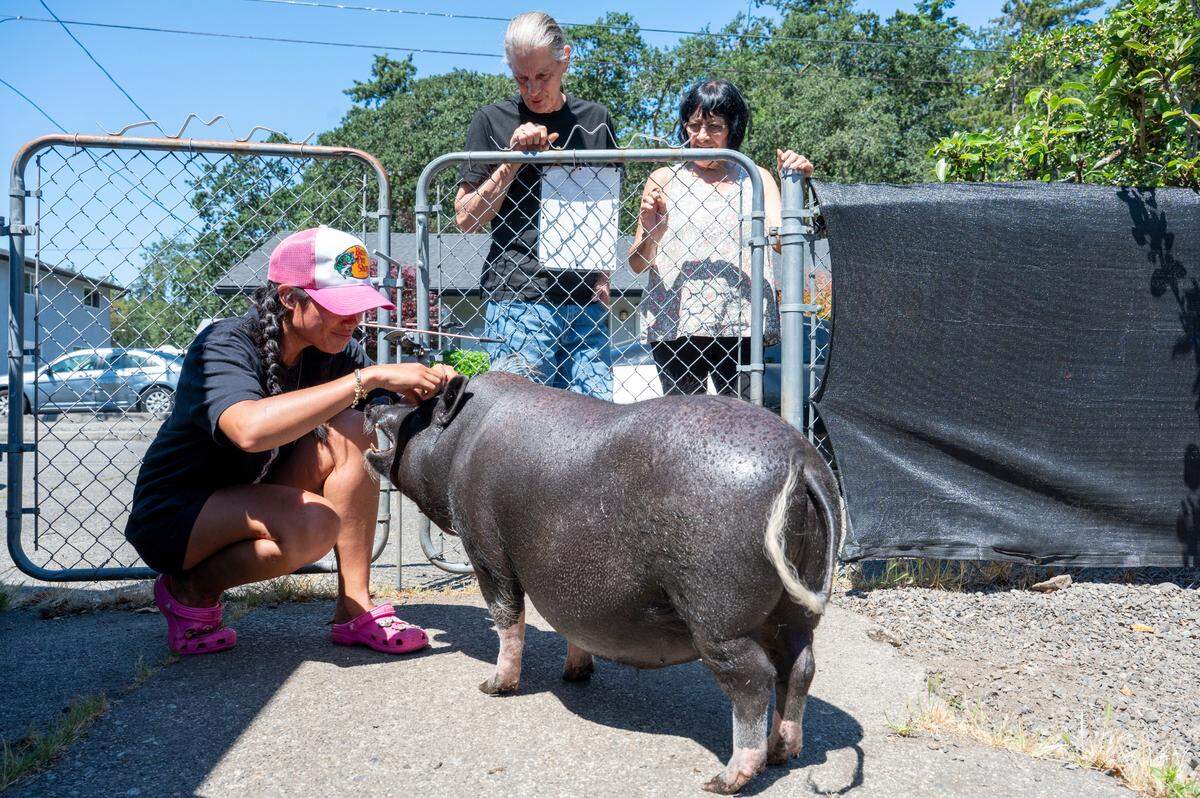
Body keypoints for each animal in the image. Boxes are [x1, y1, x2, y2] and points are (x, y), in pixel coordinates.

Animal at [365, 371, 843, 794]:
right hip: (791, 611)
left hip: (720, 616)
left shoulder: (484, 546)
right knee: (800, 666)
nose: (374, 401)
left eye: (421, 411)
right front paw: (575, 675)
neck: (459, 443)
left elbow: (507, 614)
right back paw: (782, 751)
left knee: (754, 679)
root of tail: (800, 462)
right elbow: (571, 624)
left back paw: (721, 781)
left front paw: (492, 687)